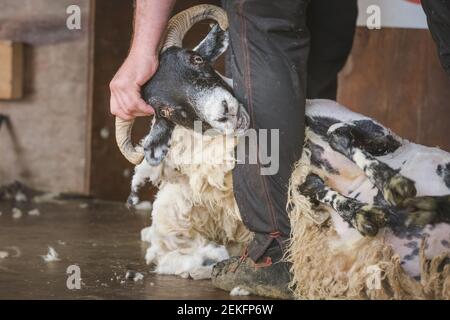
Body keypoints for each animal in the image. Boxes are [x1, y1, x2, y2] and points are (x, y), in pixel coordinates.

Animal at [114, 5, 448, 298]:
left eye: (195, 58)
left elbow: (337, 133)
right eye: (168, 112)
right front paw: (363, 214)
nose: (224, 112)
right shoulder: (301, 181)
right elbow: (314, 184)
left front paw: (393, 184)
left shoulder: (387, 136)